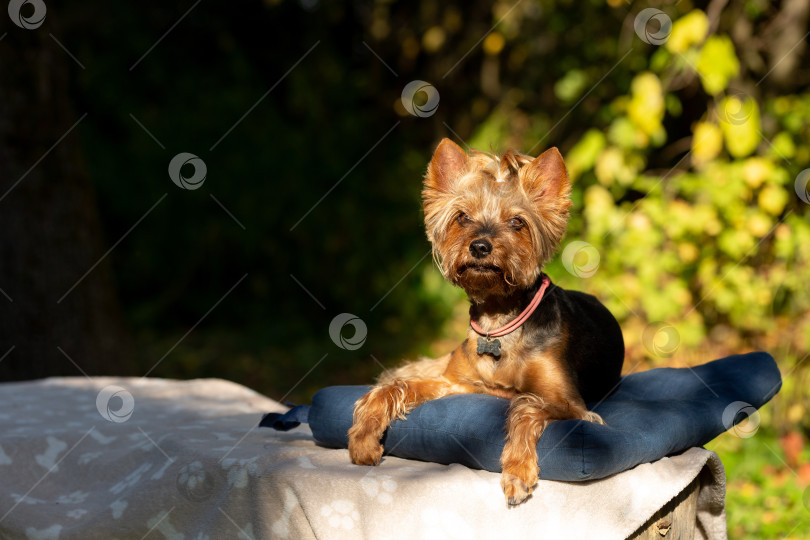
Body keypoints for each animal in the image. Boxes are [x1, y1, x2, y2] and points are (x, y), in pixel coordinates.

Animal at [348, 138, 624, 506]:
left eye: (518, 222)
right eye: (462, 217)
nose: (480, 246)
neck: (497, 319)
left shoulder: (573, 406)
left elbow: (524, 404)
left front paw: (517, 470)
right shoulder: (457, 383)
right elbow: (397, 386)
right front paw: (364, 434)